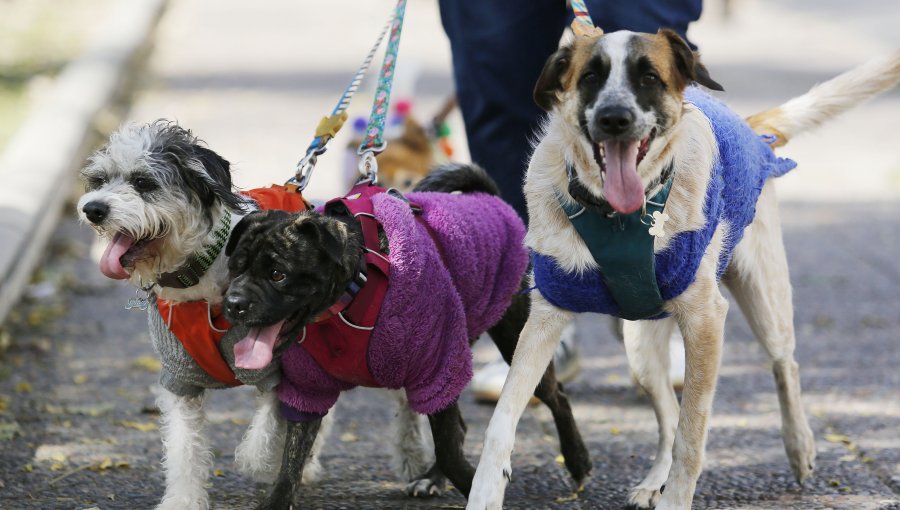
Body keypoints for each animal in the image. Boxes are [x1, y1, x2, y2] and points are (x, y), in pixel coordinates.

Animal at [222, 165, 596, 508]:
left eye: (278, 274)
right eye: (235, 269)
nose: (233, 303)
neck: (350, 294)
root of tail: (489, 198)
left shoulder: (436, 370)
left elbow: (447, 449)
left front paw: (478, 488)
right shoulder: (310, 389)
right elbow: (292, 458)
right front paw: (277, 500)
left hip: (514, 337)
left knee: (556, 396)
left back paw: (577, 460)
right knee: (461, 425)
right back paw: (433, 479)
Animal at [464, 30, 900, 510]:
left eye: (649, 77)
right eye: (591, 77)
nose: (615, 119)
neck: (617, 218)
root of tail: (750, 128)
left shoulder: (706, 320)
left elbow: (692, 435)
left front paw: (676, 498)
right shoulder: (547, 316)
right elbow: (502, 418)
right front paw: (485, 492)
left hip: (764, 301)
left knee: (785, 364)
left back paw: (798, 444)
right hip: (638, 345)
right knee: (668, 415)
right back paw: (654, 481)